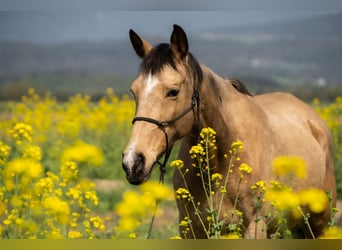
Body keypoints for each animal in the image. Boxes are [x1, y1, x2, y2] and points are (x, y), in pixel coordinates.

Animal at [121, 24, 336, 238]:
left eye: (173, 91)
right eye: (133, 92)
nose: (132, 162)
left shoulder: (254, 227)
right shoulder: (191, 229)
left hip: (319, 222)